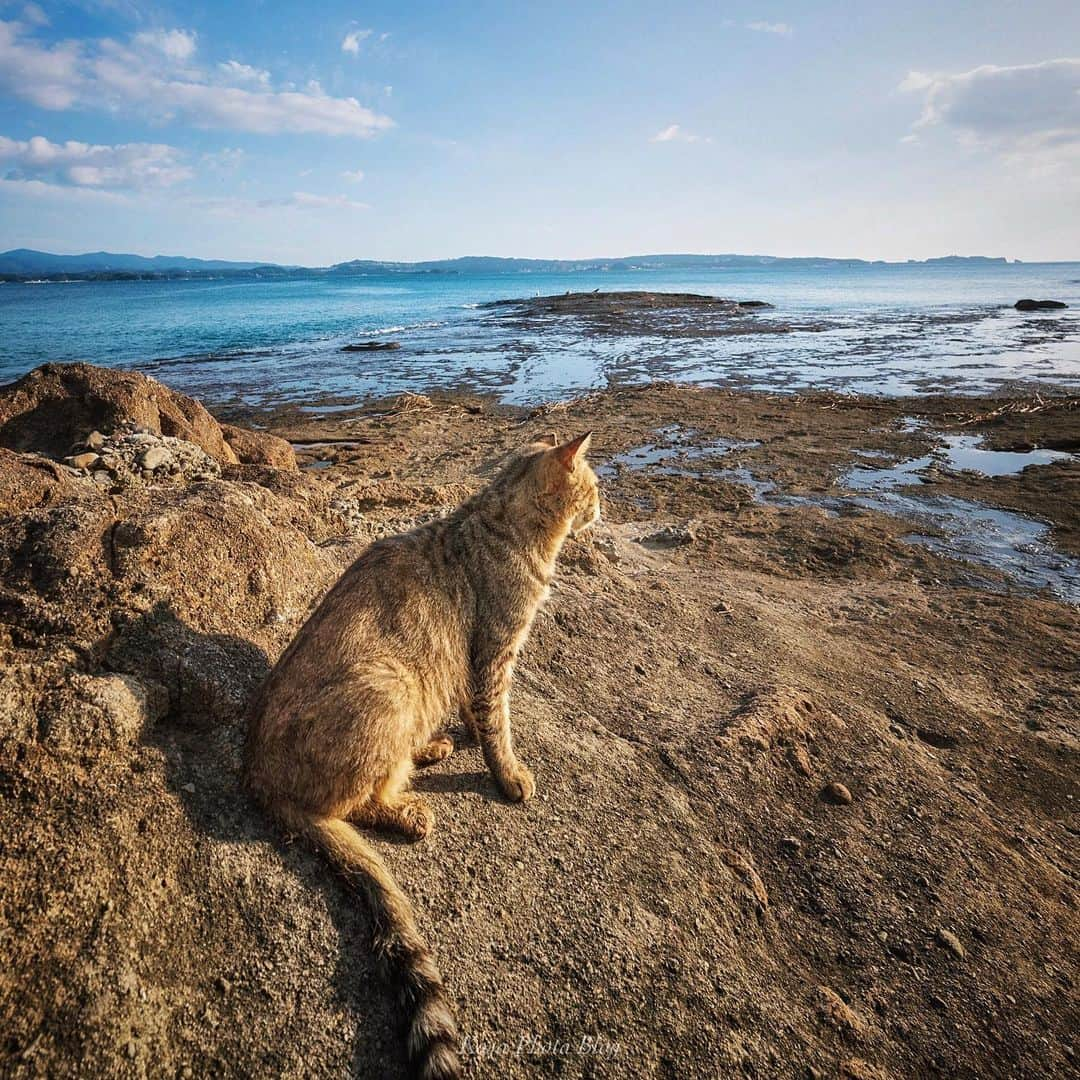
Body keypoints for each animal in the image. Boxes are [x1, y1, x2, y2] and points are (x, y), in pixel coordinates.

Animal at [243, 429, 600, 1080]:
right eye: (593, 487)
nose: (603, 507)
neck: (502, 525)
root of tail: (253, 774)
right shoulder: (494, 654)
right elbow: (498, 726)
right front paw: (508, 773)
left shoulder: (472, 666)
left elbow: (476, 712)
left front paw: (468, 735)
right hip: (394, 684)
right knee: (354, 802)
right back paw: (409, 809)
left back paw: (430, 749)